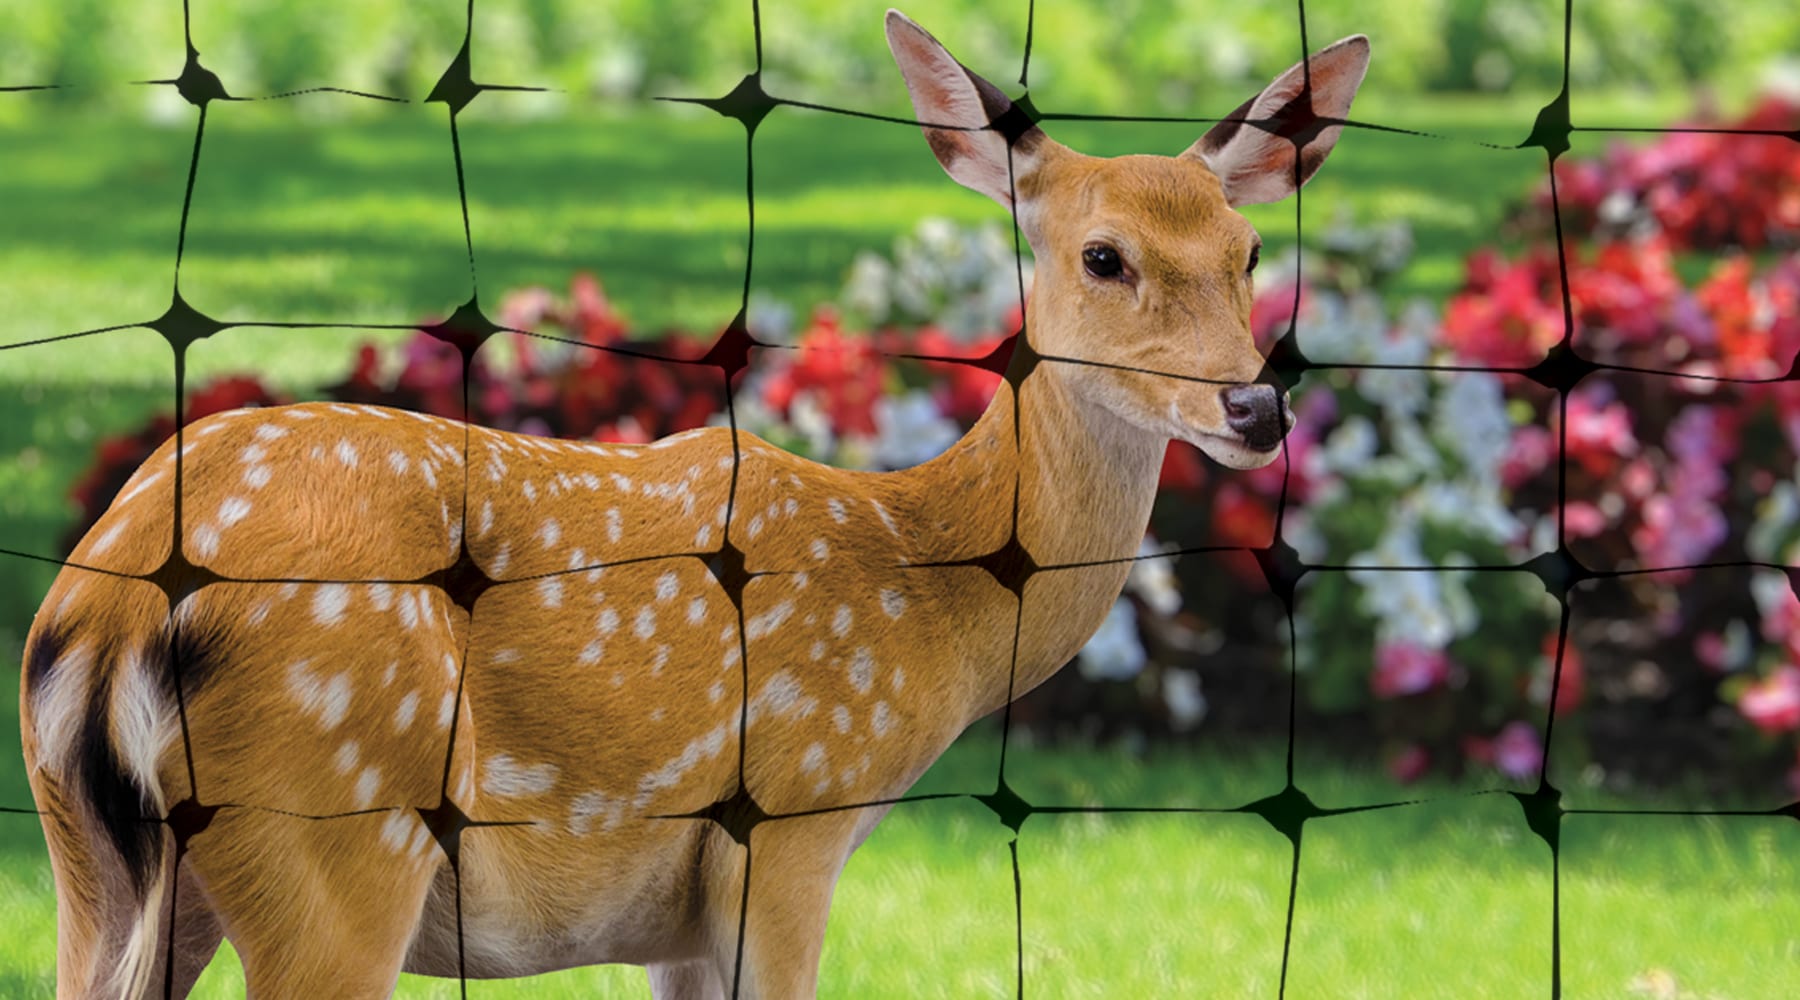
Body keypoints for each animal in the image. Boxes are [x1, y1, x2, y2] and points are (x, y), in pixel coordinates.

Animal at [21, 9, 1360, 1000]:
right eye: (1102, 255)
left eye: (1248, 251)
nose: (1255, 406)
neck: (930, 591)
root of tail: (109, 609)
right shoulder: (793, 825)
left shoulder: (681, 907)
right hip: (341, 826)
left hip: (95, 863)